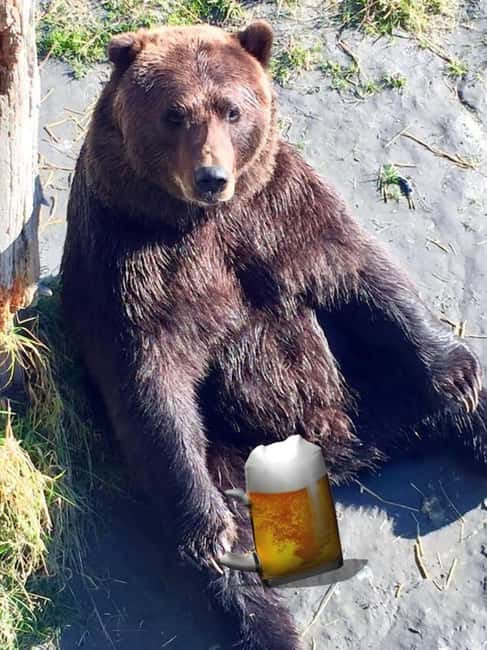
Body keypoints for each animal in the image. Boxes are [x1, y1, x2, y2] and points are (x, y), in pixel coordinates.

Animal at [60, 20, 486, 650]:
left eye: (232, 109)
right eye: (173, 114)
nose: (211, 177)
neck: (198, 221)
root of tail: (349, 453)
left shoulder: (278, 212)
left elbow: (363, 275)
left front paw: (457, 374)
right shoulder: (135, 263)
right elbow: (152, 380)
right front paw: (210, 533)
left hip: (368, 379)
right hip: (228, 456)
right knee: (237, 557)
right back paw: (268, 619)